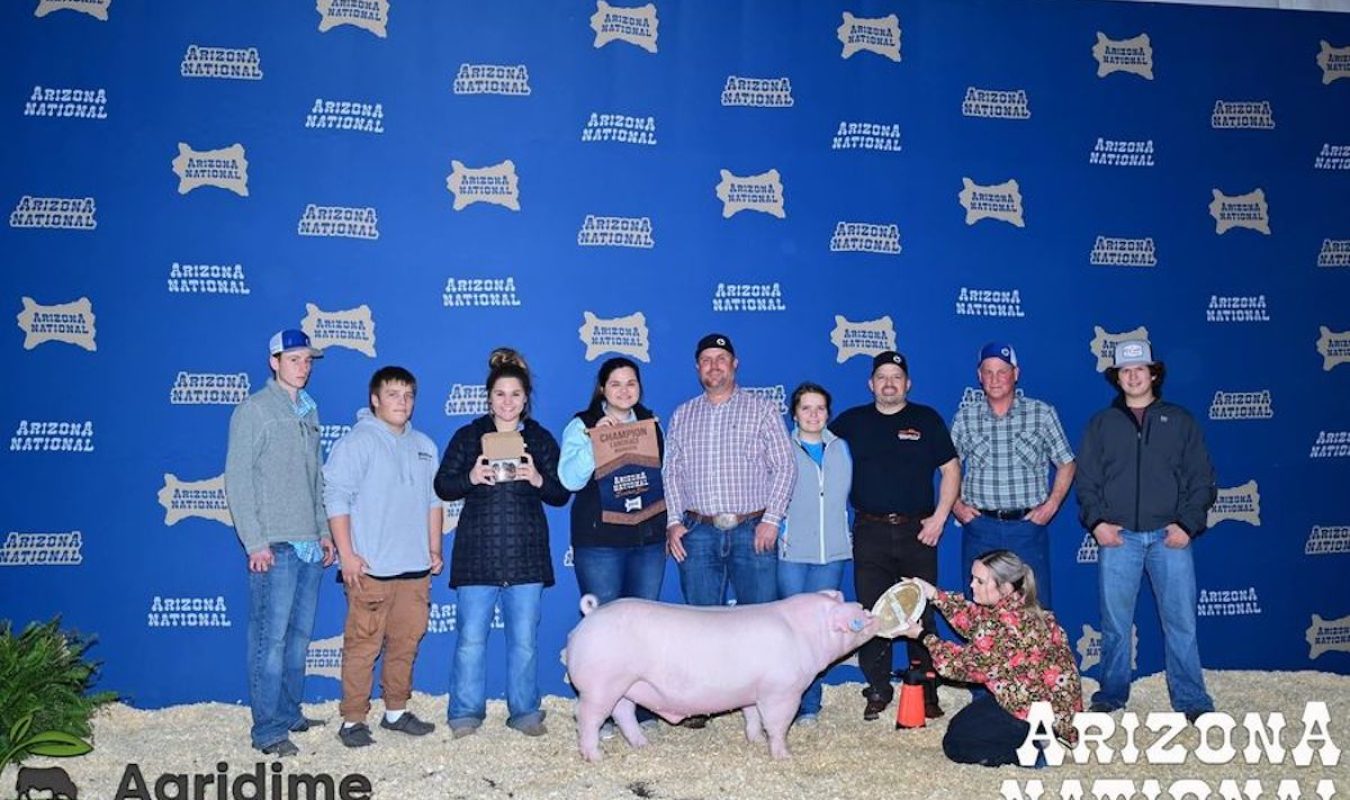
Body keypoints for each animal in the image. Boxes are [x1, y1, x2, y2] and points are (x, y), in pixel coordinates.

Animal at [558, 590, 874, 755]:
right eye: (857, 619)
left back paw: (643, 745)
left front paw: (754, 740)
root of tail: (590, 616)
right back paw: (595, 756)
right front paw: (784, 755)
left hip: (624, 684)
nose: (872, 616)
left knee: (623, 712)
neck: (804, 633)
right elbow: (777, 723)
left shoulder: (754, 690)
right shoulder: (782, 690)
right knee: (586, 717)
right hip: (600, 684)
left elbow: (752, 716)